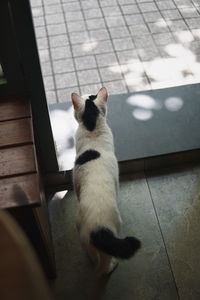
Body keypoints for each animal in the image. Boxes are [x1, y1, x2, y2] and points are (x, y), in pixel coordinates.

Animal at [71, 87, 141, 276]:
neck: (92, 126)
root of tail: (98, 230)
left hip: (85, 239)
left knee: (96, 260)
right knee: (103, 267)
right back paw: (112, 265)